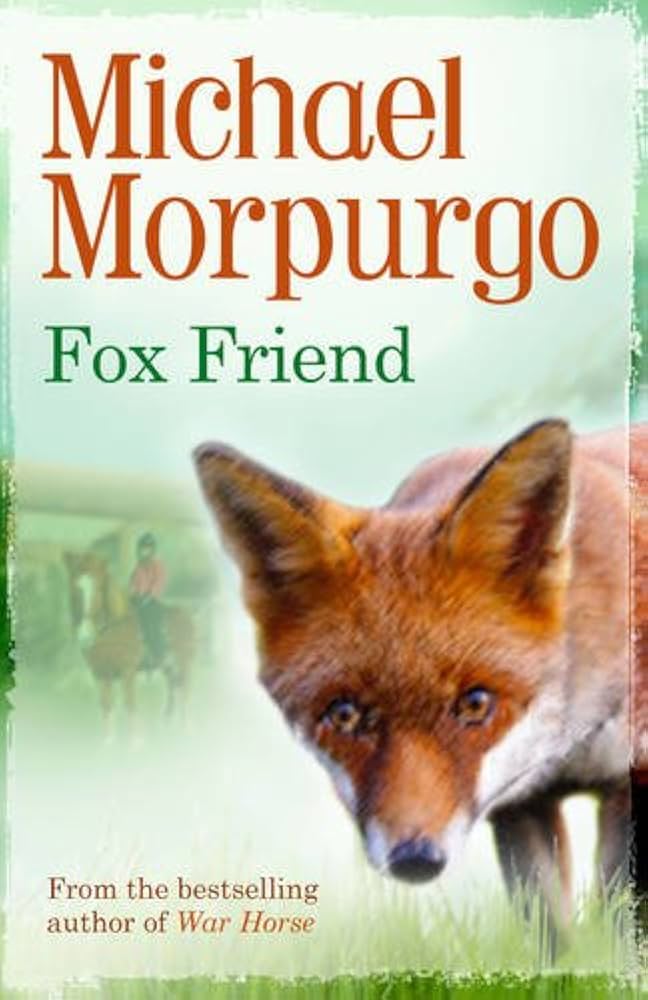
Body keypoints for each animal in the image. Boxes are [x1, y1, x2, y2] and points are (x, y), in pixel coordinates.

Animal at [194, 420, 645, 932]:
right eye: (344, 714)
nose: (414, 858)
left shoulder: (627, 779)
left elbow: (615, 929)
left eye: (475, 704)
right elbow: (551, 935)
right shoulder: (518, 804)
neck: (567, 738)